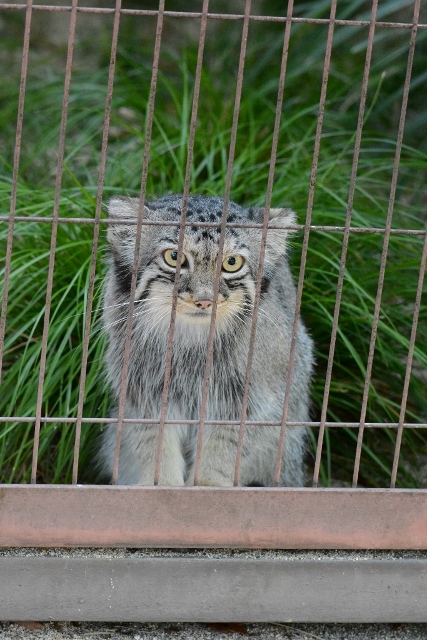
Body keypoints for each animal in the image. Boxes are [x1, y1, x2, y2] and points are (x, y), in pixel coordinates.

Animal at [99, 195, 314, 484]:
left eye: (232, 262)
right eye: (174, 257)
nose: (204, 301)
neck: (192, 339)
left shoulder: (255, 398)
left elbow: (224, 448)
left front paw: (207, 484)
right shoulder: (142, 390)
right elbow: (154, 442)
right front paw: (162, 484)